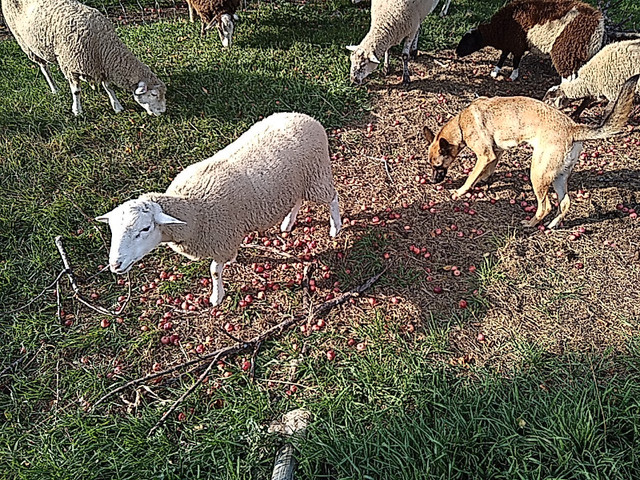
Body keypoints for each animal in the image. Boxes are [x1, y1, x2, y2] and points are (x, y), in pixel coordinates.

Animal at [1, 0, 166, 115]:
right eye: (153, 94)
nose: (163, 112)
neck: (103, 45)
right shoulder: (71, 66)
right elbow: (76, 92)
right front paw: (77, 110)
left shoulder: (100, 66)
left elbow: (108, 87)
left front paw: (117, 106)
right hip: (26, 43)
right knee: (43, 67)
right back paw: (54, 88)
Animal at [95, 112, 342, 306]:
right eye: (113, 230)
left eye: (145, 229)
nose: (115, 265)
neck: (192, 209)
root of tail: (305, 117)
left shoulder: (223, 239)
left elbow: (214, 270)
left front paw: (216, 296)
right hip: (296, 183)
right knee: (297, 199)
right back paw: (287, 223)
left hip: (317, 175)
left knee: (333, 198)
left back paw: (335, 227)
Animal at [422, 74, 636, 229]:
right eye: (430, 165)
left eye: (438, 165)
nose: (432, 181)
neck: (461, 123)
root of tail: (573, 128)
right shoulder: (496, 153)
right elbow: (488, 170)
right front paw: (483, 180)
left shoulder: (484, 155)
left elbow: (470, 177)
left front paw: (460, 191)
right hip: (557, 176)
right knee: (564, 203)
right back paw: (552, 225)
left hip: (538, 173)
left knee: (545, 206)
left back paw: (531, 223)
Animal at [458, 0, 604, 81]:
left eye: (468, 41)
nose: (457, 52)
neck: (500, 28)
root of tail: (598, 26)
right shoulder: (509, 41)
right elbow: (503, 56)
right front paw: (495, 71)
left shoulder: (517, 42)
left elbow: (515, 60)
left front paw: (513, 75)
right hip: (578, 55)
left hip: (566, 51)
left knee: (567, 76)